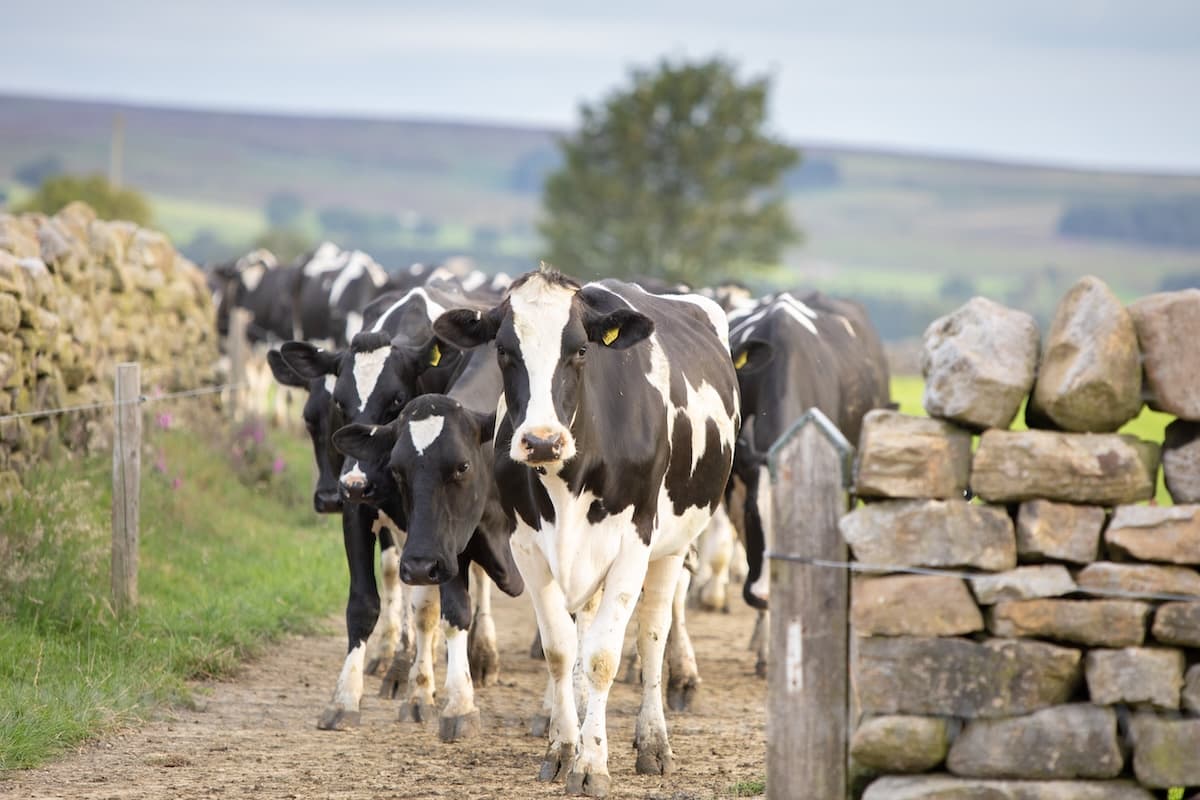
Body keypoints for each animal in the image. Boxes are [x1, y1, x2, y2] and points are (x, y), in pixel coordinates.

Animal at [434, 268, 739, 797]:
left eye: (579, 350)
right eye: (504, 350)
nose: (541, 441)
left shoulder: (634, 542)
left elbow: (602, 658)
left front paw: (593, 763)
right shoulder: (527, 546)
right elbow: (560, 650)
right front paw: (563, 748)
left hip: (671, 548)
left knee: (652, 634)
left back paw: (652, 741)